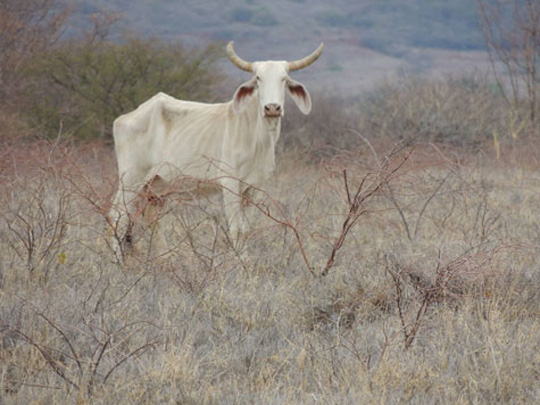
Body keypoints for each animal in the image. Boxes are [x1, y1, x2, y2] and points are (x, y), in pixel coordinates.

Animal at [107, 40, 322, 256]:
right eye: (258, 79)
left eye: (284, 79)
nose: (272, 108)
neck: (258, 139)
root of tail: (125, 117)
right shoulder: (230, 184)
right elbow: (237, 229)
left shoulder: (256, 188)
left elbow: (247, 229)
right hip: (131, 180)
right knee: (117, 216)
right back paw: (118, 261)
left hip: (157, 187)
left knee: (151, 221)